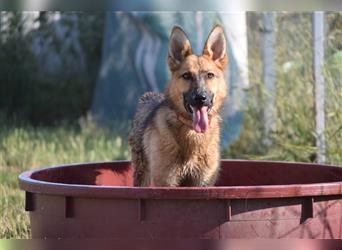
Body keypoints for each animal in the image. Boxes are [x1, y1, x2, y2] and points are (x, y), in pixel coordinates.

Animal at [130, 25, 228, 187]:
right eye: (186, 76)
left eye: (210, 75)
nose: (200, 98)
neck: (192, 133)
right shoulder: (166, 182)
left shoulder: (202, 183)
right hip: (142, 175)